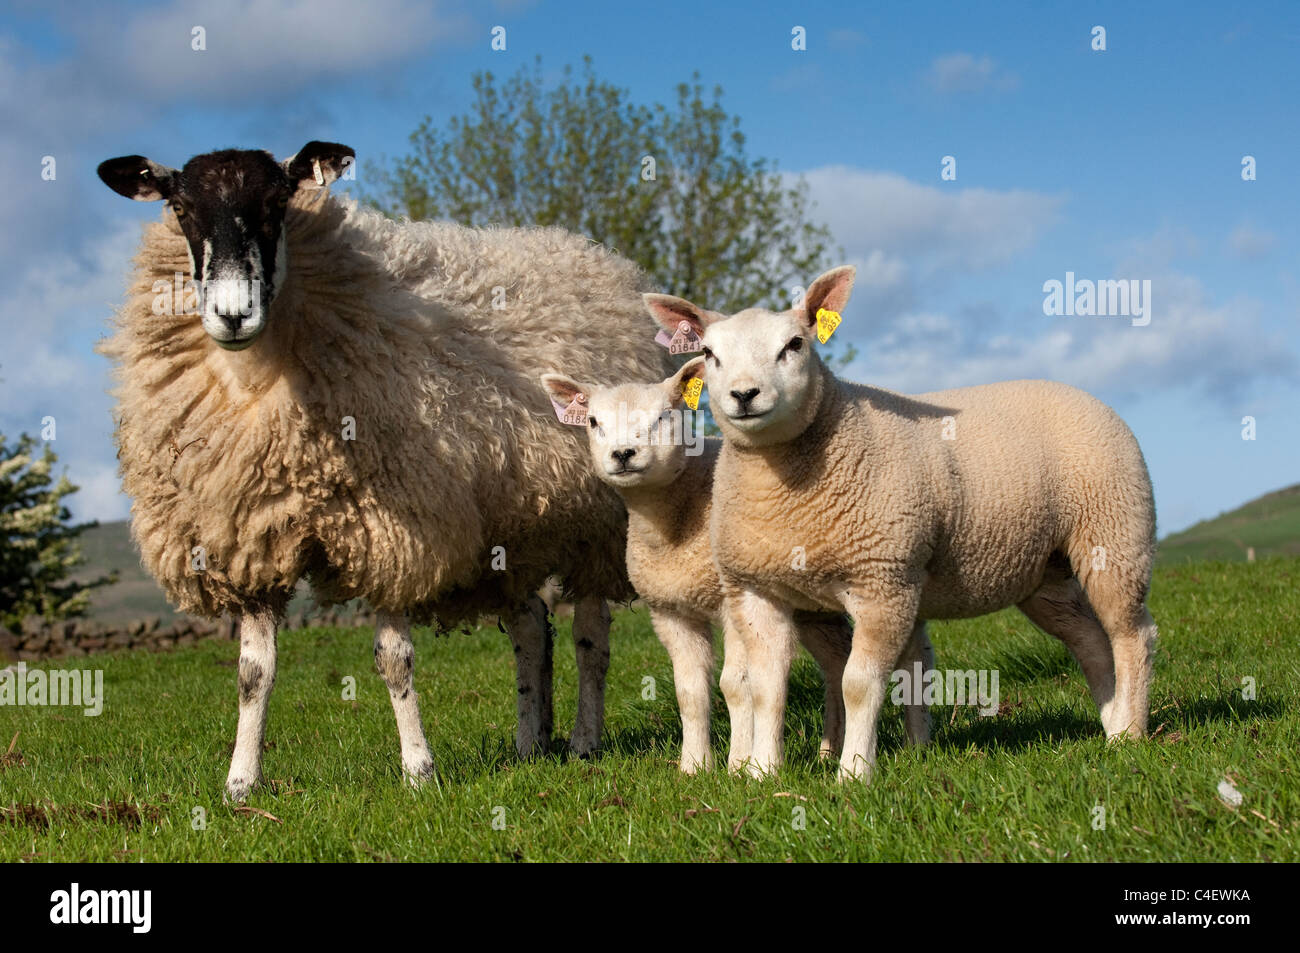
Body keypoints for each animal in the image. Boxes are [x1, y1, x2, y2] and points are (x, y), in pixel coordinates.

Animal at [94, 141, 670, 800]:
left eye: (277, 203)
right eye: (182, 208)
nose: (232, 314)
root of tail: (601, 260)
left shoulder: (391, 531)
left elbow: (394, 660)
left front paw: (418, 770)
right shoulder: (253, 536)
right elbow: (252, 673)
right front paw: (241, 782)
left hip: (597, 525)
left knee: (589, 638)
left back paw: (583, 740)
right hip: (510, 529)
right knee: (531, 630)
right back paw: (530, 743)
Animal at [644, 265, 1164, 780]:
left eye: (794, 345)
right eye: (709, 353)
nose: (744, 395)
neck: (786, 492)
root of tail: (1084, 395)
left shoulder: (883, 581)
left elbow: (858, 684)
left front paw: (853, 773)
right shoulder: (756, 588)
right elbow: (766, 688)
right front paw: (761, 774)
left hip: (1115, 533)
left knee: (1131, 635)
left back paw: (1131, 735)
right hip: (1046, 574)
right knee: (1090, 641)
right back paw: (1111, 724)